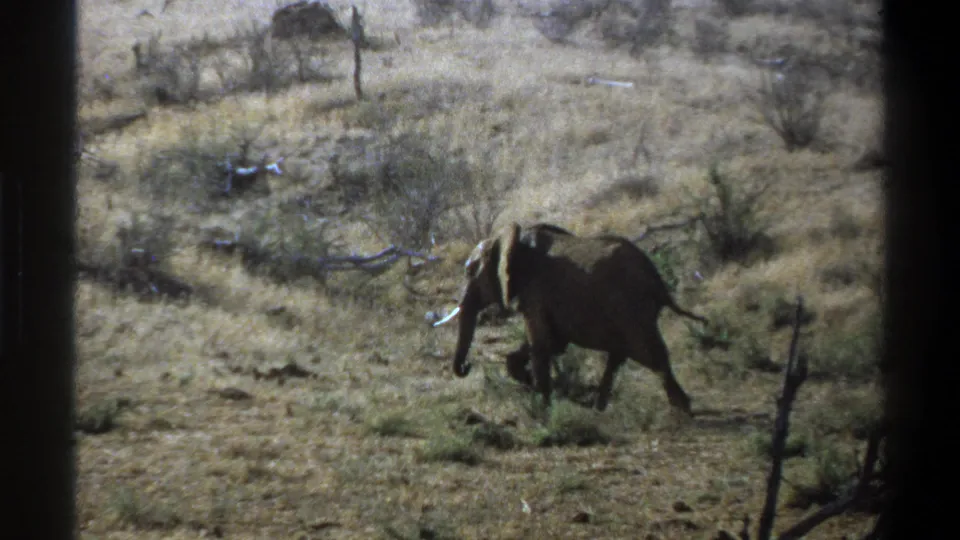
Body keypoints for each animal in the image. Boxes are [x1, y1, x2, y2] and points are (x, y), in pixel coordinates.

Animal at [433, 222, 708, 414]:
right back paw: (598, 407)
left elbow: (542, 344)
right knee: (621, 356)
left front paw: (543, 410)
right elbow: (551, 343)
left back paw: (681, 408)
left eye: (470, 272)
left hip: (630, 307)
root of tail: (656, 277)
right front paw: (538, 387)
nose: (466, 367)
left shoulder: (535, 290)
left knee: (649, 353)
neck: (511, 241)